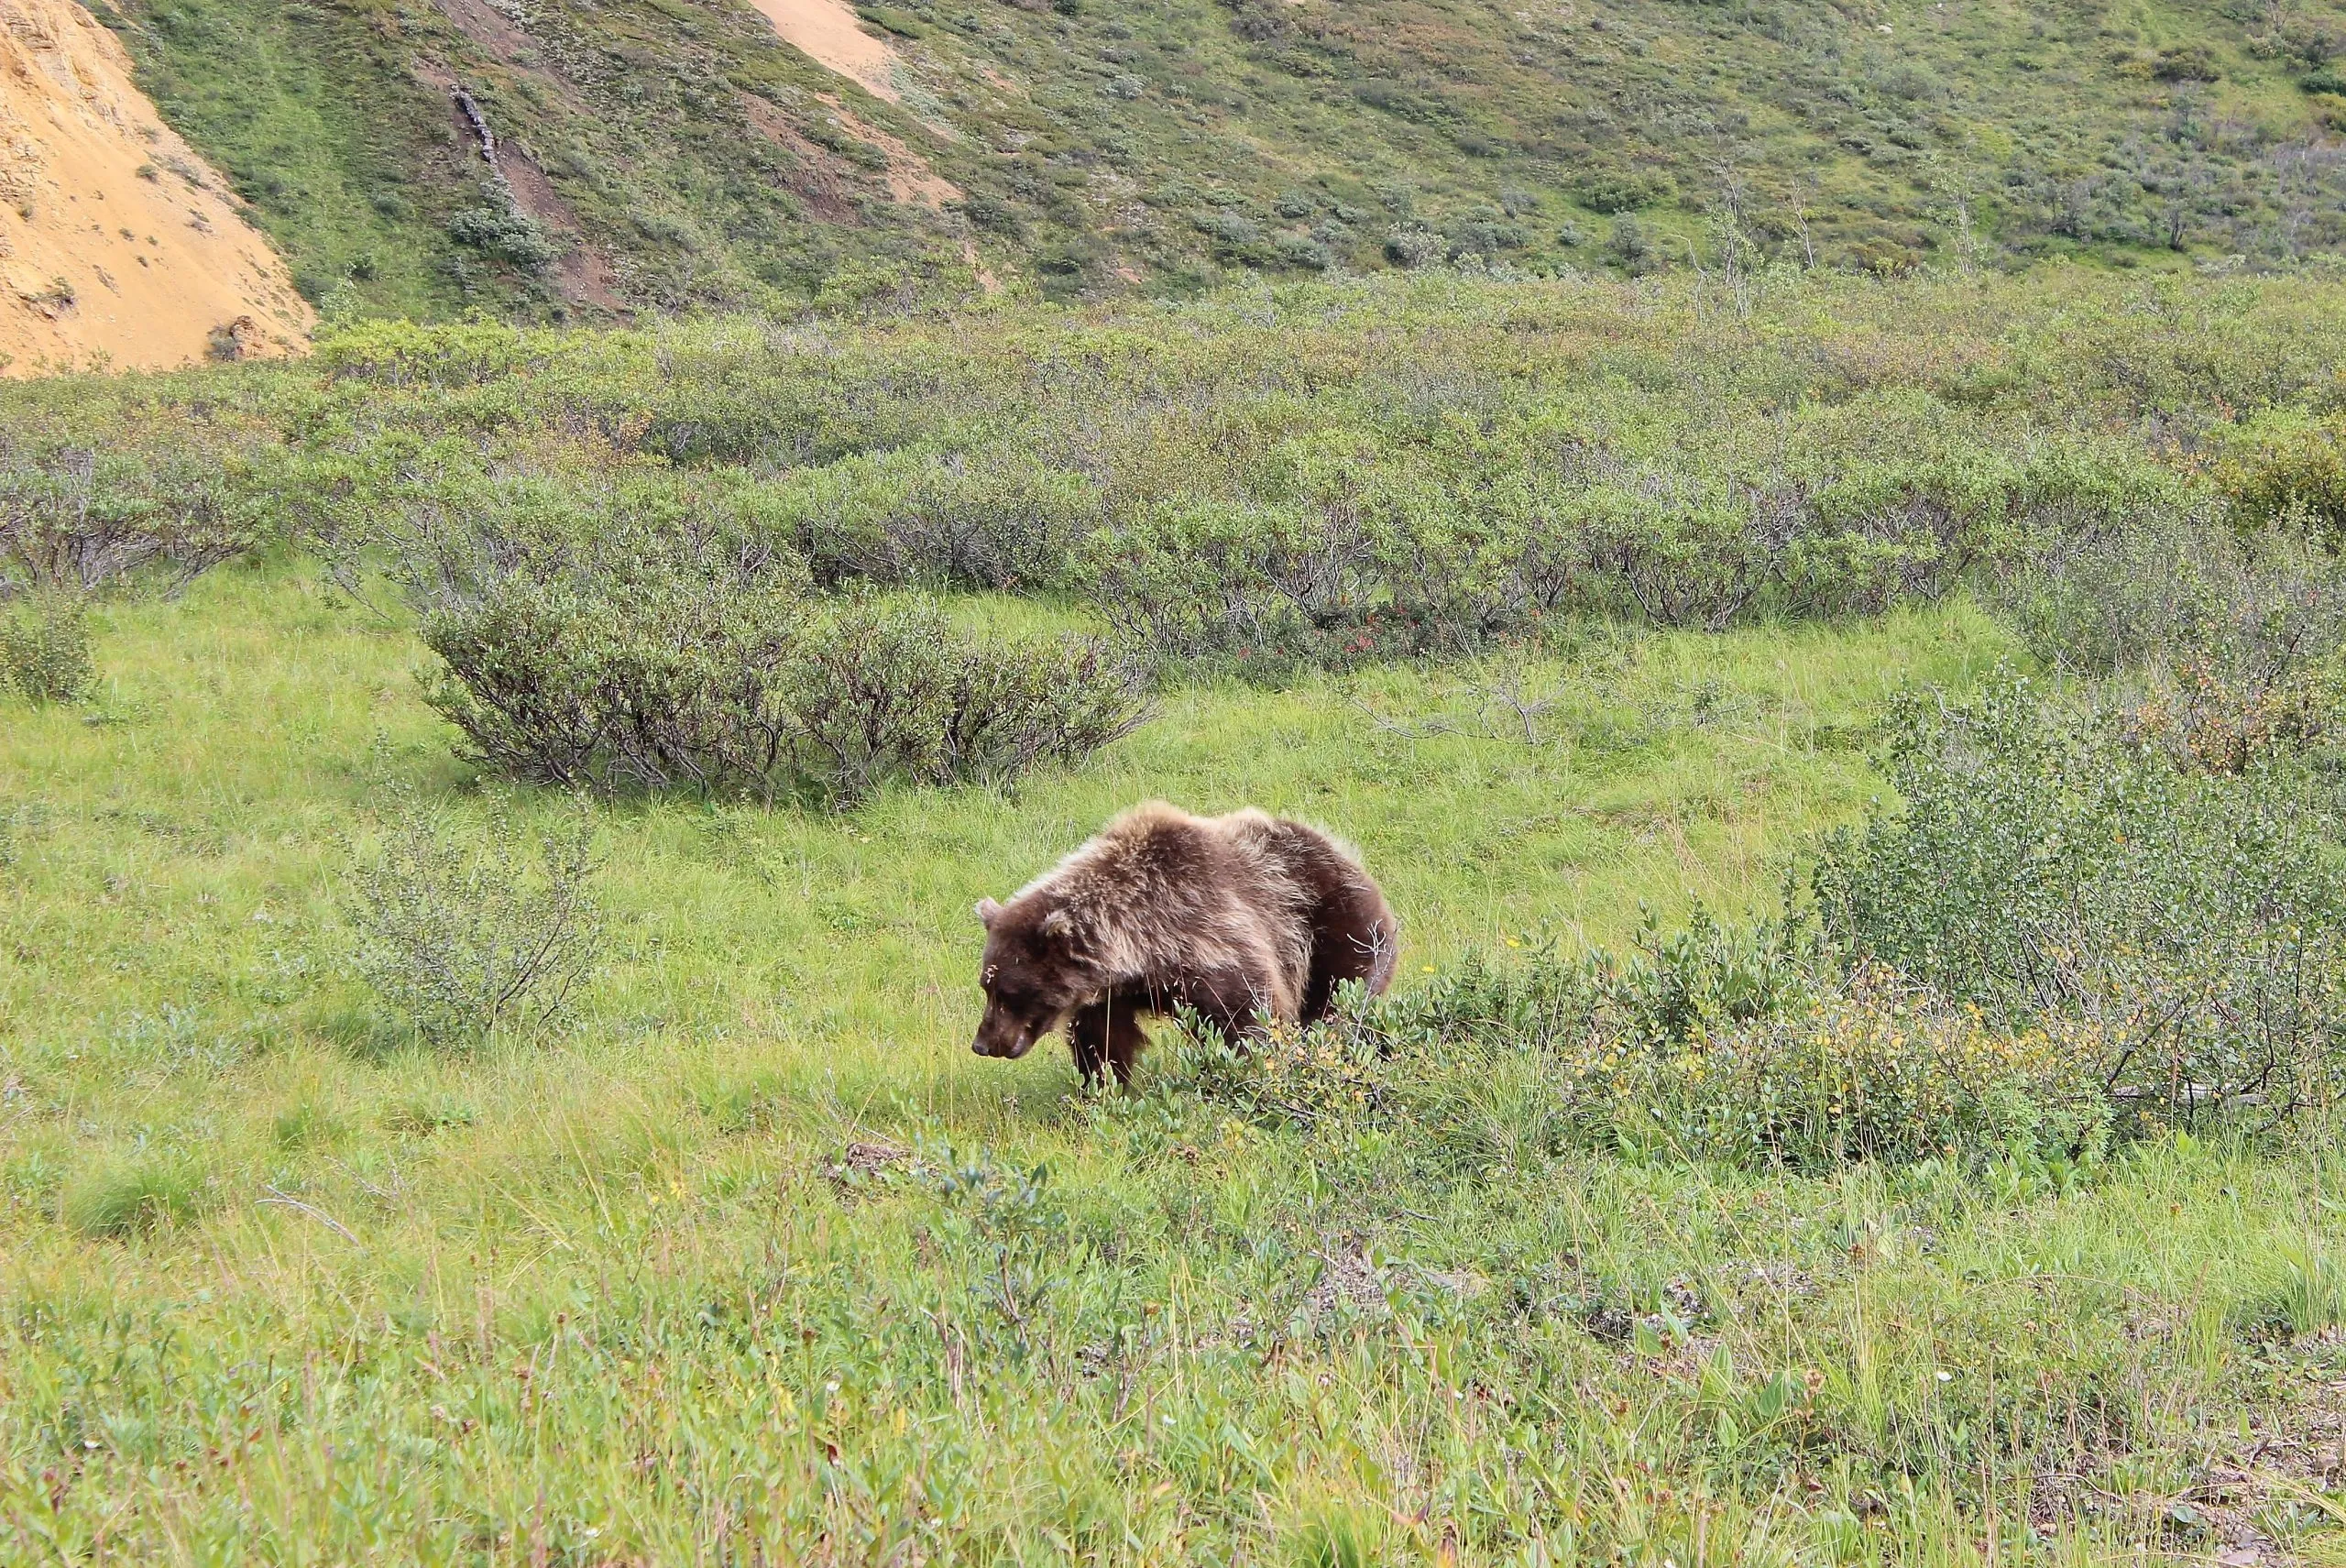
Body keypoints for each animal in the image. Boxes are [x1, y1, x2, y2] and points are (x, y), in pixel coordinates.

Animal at [970, 801, 1399, 1085]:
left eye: (1010, 992)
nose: (983, 1043)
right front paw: (1104, 1087)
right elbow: (1103, 1040)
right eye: (987, 986)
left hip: (1335, 921)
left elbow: (1249, 1016)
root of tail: (1341, 849)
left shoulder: (1214, 937)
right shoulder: (1111, 993)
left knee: (1340, 1000)